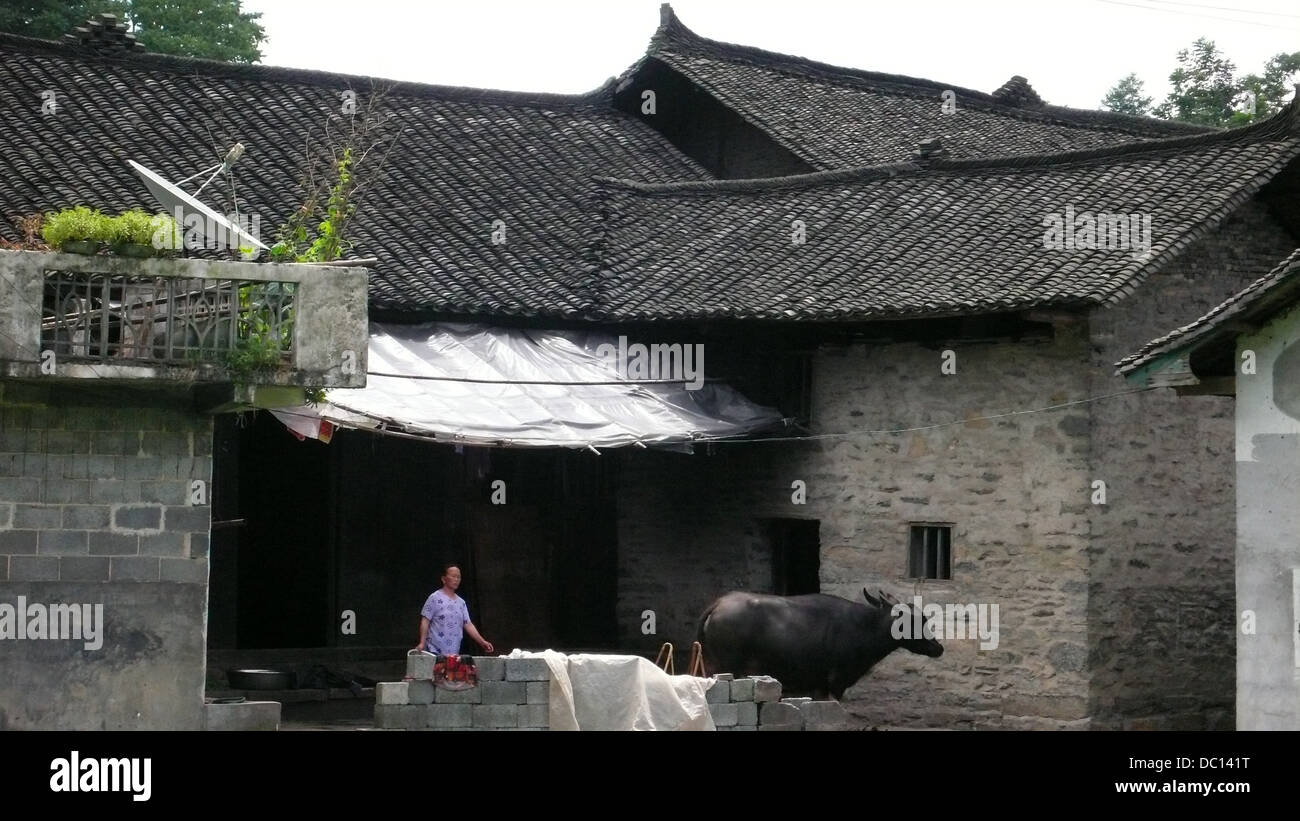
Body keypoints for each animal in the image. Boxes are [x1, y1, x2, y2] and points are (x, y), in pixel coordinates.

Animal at [702, 587, 946, 696]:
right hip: (725, 667)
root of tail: (717, 605)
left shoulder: (817, 686)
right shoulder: (836, 682)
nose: (938, 647)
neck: (864, 628)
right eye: (914, 620)